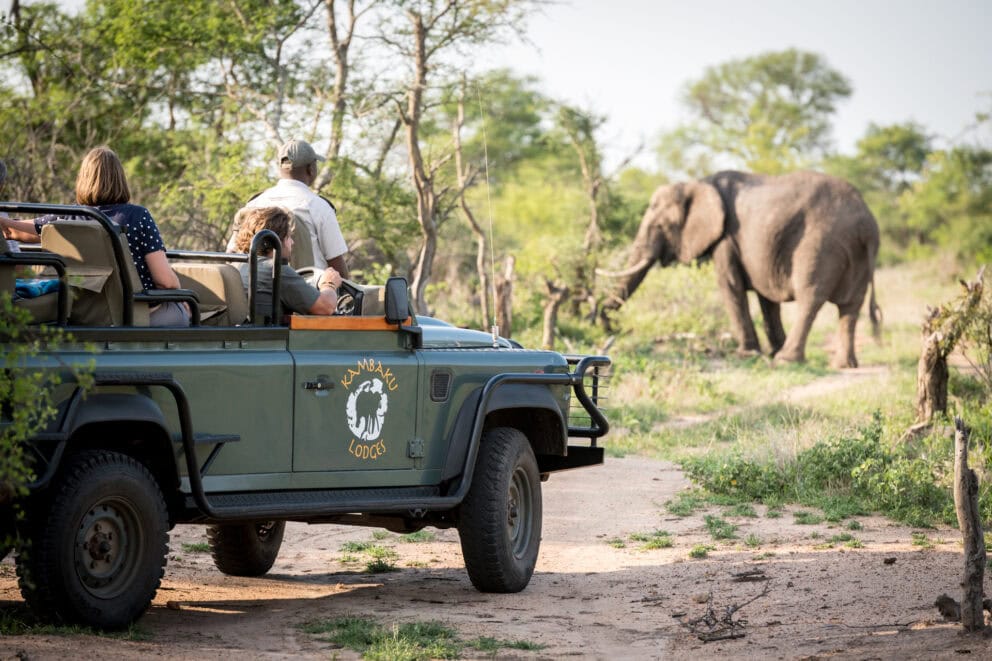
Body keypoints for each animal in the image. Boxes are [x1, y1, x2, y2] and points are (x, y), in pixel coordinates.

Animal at [602, 170, 881, 368]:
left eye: (659, 227)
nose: (612, 328)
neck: (698, 183)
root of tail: (866, 221)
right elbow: (767, 298)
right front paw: (769, 350)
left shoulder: (726, 238)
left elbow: (730, 286)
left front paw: (748, 355)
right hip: (856, 252)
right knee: (850, 308)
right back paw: (843, 365)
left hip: (822, 243)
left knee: (811, 298)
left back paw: (786, 360)